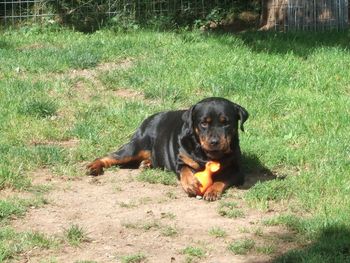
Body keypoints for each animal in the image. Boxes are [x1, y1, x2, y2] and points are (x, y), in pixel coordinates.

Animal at [87, 97, 249, 202]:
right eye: (203, 123)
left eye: (226, 123)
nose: (214, 141)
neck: (205, 154)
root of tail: (147, 120)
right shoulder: (181, 161)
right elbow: (185, 171)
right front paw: (190, 184)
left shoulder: (237, 170)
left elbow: (222, 179)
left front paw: (212, 191)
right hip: (135, 147)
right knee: (110, 156)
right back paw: (93, 166)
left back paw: (147, 164)